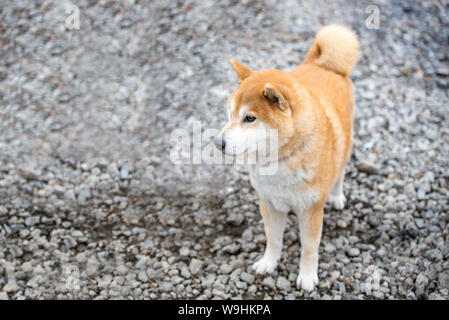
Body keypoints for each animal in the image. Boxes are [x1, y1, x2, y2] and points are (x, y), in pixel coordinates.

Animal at [215, 25, 358, 290]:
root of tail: (321, 64)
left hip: (347, 144)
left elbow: (309, 249)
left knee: (341, 170)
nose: (218, 143)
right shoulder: (269, 205)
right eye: (229, 115)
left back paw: (337, 196)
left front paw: (308, 277)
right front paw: (268, 263)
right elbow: (273, 240)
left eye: (249, 118)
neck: (280, 162)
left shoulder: (311, 211)